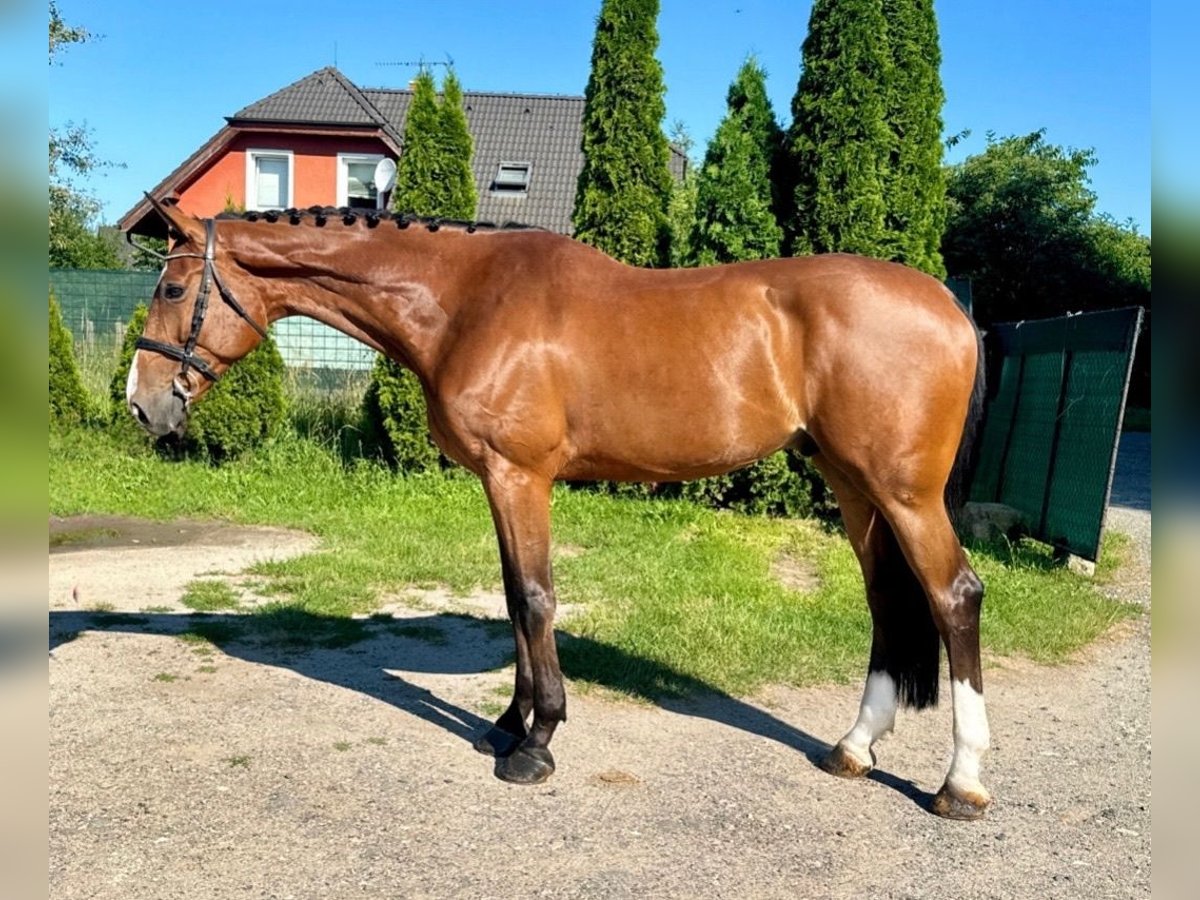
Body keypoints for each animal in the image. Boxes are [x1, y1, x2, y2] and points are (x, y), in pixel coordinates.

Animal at [126, 199, 988, 825]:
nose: (141, 405)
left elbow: (535, 597)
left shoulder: (520, 477)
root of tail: (950, 306)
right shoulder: (499, 483)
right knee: (888, 603)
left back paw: (961, 784)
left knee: (954, 597)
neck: (466, 302)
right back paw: (854, 748)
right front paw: (508, 723)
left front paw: (535, 743)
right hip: (853, 486)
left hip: (905, 494)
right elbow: (514, 599)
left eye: (171, 289)